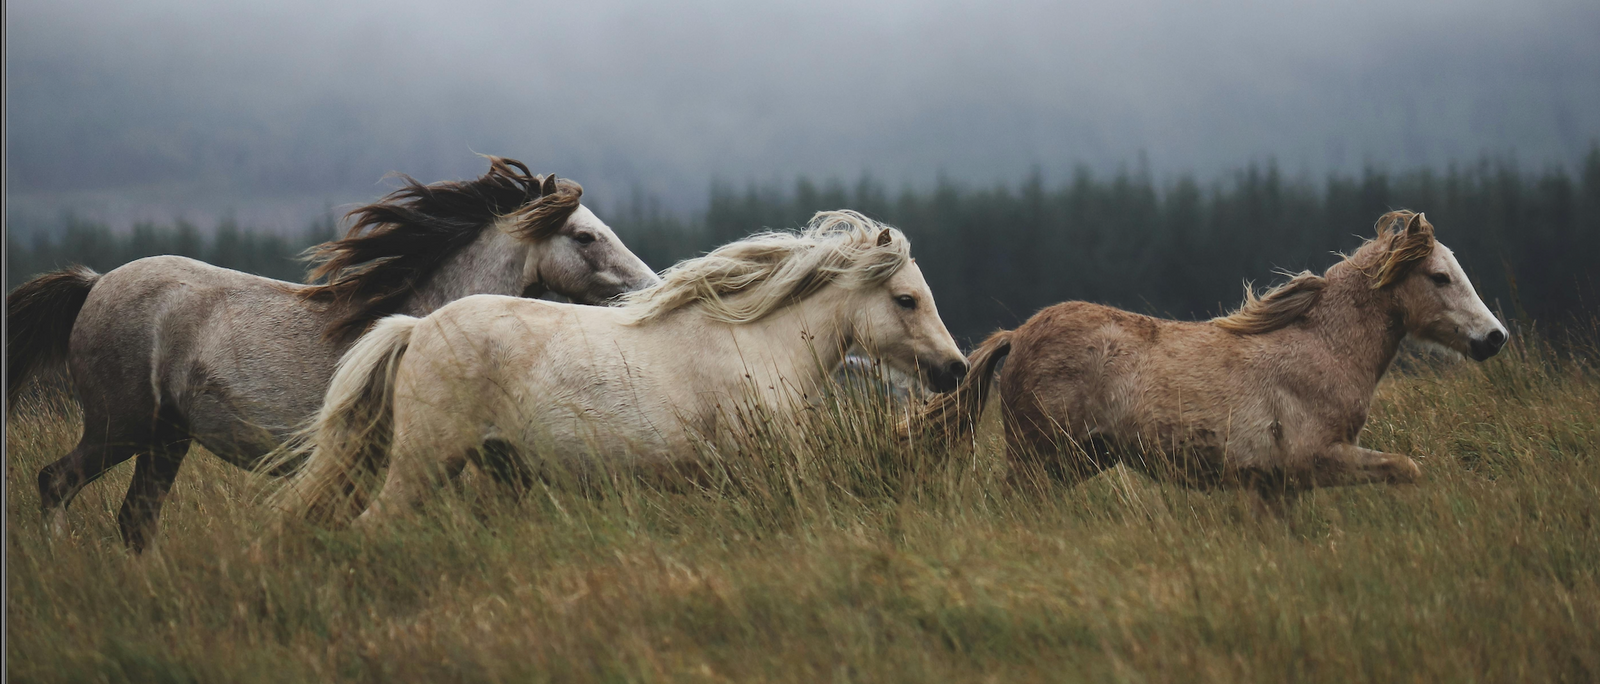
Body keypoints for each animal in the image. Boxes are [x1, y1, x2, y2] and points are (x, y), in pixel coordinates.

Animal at [4, 156, 656, 549]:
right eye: (584, 236)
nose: (648, 288)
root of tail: (95, 283)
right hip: (122, 425)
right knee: (57, 482)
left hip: (167, 439)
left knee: (136, 518)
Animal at [921, 212, 1504, 508]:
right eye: (1439, 277)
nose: (1494, 337)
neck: (1323, 350)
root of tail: (1017, 335)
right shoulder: (1316, 460)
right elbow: (1406, 469)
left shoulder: (1273, 487)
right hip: (1039, 459)